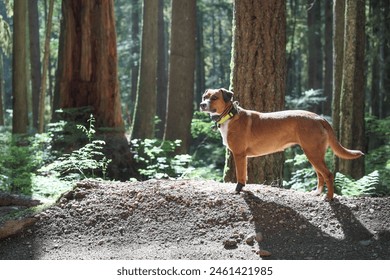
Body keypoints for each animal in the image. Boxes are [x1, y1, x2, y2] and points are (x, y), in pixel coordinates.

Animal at [200, 88, 364, 200]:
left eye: (214, 97)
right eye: (204, 97)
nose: (202, 104)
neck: (229, 115)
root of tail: (319, 118)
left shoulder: (239, 155)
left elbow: (241, 176)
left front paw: (238, 189)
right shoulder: (243, 156)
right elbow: (244, 175)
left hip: (313, 153)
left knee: (328, 175)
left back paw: (328, 197)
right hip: (314, 154)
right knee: (320, 175)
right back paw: (317, 192)